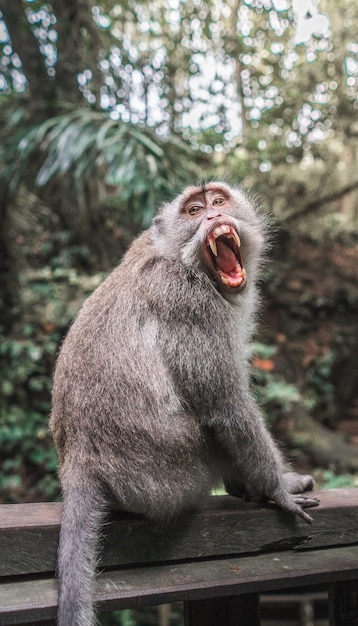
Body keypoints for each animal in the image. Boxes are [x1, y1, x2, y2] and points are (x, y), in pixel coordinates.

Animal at [49, 180, 318, 624]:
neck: (182, 259)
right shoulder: (189, 302)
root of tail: (79, 459)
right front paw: (279, 488)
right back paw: (251, 485)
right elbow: (226, 406)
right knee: (210, 431)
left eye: (218, 200)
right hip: (170, 472)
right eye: (194, 210)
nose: (213, 215)